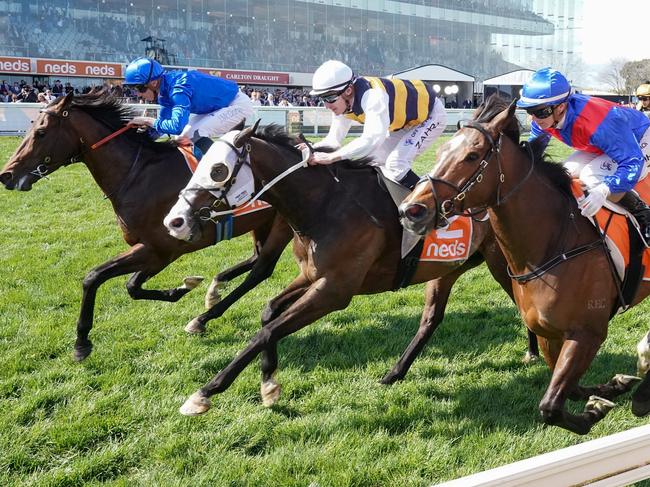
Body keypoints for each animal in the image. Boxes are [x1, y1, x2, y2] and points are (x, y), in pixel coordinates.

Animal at [0, 93, 292, 362]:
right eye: (30, 127)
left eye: (41, 132)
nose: (7, 175)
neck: (137, 174)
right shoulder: (151, 250)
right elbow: (131, 286)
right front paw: (182, 287)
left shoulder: (161, 250)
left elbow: (97, 277)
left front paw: (81, 343)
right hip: (262, 222)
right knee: (255, 260)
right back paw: (215, 288)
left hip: (283, 224)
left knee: (261, 270)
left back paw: (203, 318)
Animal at [166, 122, 536, 416]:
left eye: (217, 170)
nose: (175, 221)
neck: (324, 204)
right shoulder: (312, 276)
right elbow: (269, 313)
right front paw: (269, 382)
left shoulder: (335, 290)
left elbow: (266, 331)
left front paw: (204, 393)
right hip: (448, 268)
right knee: (431, 319)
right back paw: (395, 373)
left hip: (502, 262)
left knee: (520, 300)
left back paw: (533, 351)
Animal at [398, 96, 640, 434]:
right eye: (441, 150)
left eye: (472, 155)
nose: (411, 210)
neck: (554, 245)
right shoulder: (549, 332)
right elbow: (566, 391)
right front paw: (610, 389)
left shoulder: (588, 333)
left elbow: (549, 406)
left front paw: (595, 411)